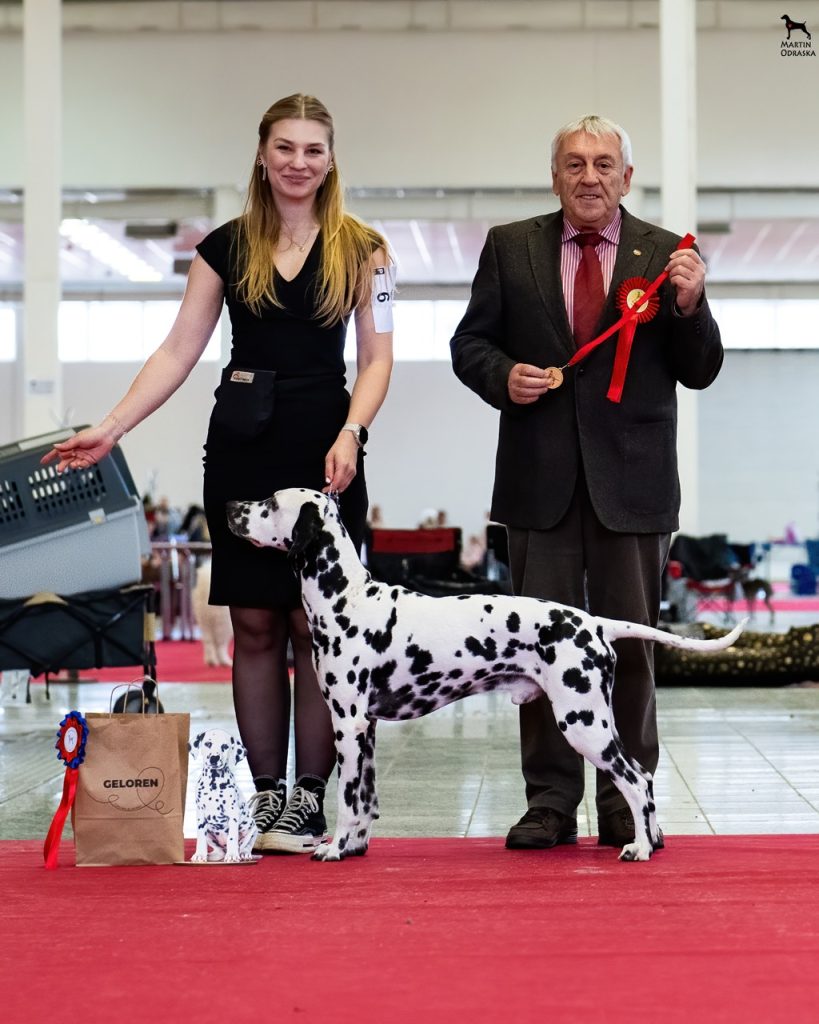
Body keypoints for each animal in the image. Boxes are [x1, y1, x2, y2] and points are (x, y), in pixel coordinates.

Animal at [188, 728, 257, 862]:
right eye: (208, 744)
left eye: (225, 746)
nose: (214, 758)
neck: (214, 783)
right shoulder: (200, 813)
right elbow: (200, 837)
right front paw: (200, 854)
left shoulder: (233, 813)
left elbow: (232, 837)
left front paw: (232, 855)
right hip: (210, 834)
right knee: (219, 851)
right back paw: (211, 856)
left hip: (252, 828)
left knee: (245, 845)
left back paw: (244, 854)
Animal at [227, 488, 745, 864]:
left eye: (270, 502)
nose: (231, 507)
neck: (347, 598)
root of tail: (596, 623)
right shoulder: (366, 729)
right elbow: (367, 799)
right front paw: (354, 847)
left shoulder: (348, 725)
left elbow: (349, 797)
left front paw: (334, 848)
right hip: (594, 722)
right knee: (646, 779)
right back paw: (651, 840)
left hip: (584, 724)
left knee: (636, 780)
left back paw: (638, 848)